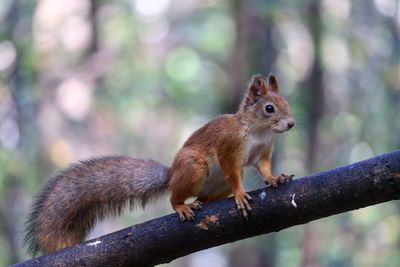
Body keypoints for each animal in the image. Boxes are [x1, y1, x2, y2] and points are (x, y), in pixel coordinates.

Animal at [24, 73, 294, 255]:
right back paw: (183, 206)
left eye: (287, 103)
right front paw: (239, 194)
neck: (258, 131)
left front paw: (275, 178)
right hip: (194, 167)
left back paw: (201, 202)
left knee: (204, 197)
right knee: (174, 197)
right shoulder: (229, 148)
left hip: (214, 185)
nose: (291, 124)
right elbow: (233, 173)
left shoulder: (262, 153)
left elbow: (264, 168)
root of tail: (172, 174)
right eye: (269, 108)